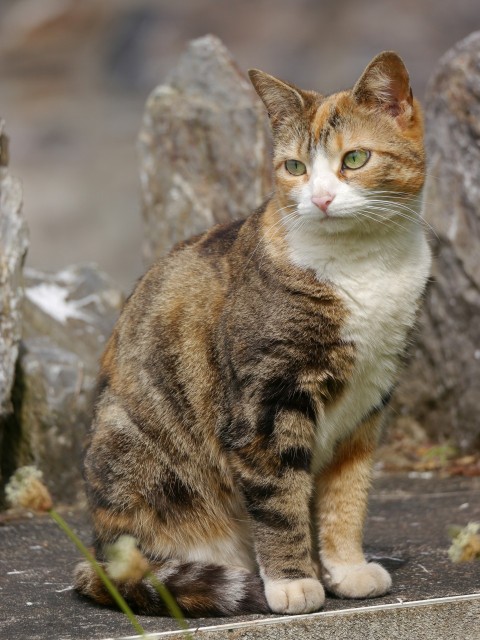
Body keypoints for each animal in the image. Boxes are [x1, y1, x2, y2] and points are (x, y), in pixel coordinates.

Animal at [74, 52, 432, 616]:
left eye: (354, 159)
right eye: (295, 168)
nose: (321, 198)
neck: (364, 265)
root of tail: (99, 555)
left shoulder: (368, 403)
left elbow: (347, 496)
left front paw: (346, 568)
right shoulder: (267, 400)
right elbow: (280, 500)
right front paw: (293, 581)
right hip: (133, 450)